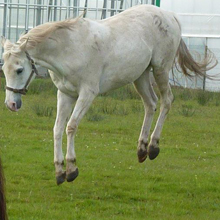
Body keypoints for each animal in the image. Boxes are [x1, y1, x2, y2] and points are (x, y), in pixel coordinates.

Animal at [0, 4, 217, 184]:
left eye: (19, 69)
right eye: (4, 69)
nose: (11, 104)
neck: (69, 48)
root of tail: (170, 15)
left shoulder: (87, 94)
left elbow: (71, 126)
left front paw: (71, 169)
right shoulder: (65, 94)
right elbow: (57, 129)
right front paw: (60, 172)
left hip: (160, 69)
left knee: (166, 101)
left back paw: (153, 147)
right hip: (140, 76)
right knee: (150, 104)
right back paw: (141, 149)